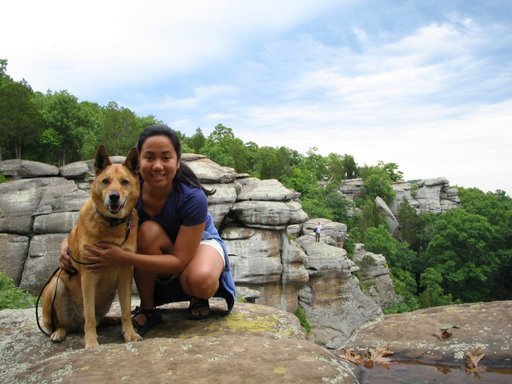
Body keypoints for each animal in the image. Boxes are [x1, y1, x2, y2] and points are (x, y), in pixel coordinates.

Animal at [40, 145, 142, 348]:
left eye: (124, 182)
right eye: (106, 181)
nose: (114, 197)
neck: (111, 225)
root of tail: (76, 325)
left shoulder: (125, 274)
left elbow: (126, 310)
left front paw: (130, 333)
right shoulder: (88, 275)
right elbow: (89, 315)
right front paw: (91, 343)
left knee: (99, 319)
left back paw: (111, 319)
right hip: (55, 286)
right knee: (64, 323)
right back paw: (59, 332)